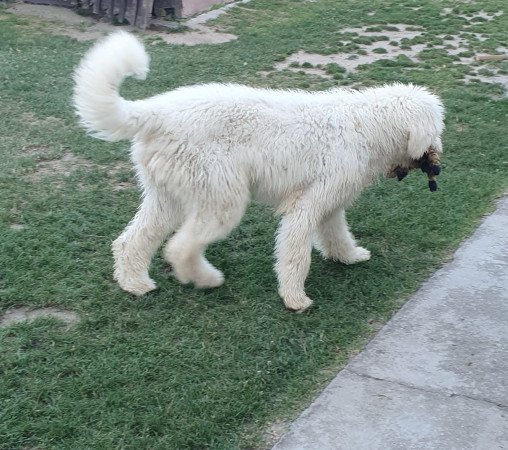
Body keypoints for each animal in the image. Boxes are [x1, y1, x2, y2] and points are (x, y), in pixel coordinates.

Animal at [73, 31, 442, 312]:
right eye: (436, 130)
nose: (438, 165)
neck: (368, 126)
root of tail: (155, 111)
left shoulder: (330, 203)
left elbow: (337, 235)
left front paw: (349, 257)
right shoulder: (305, 207)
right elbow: (295, 255)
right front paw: (295, 298)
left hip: (169, 196)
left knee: (131, 241)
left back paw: (135, 284)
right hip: (221, 199)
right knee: (179, 247)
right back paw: (206, 278)